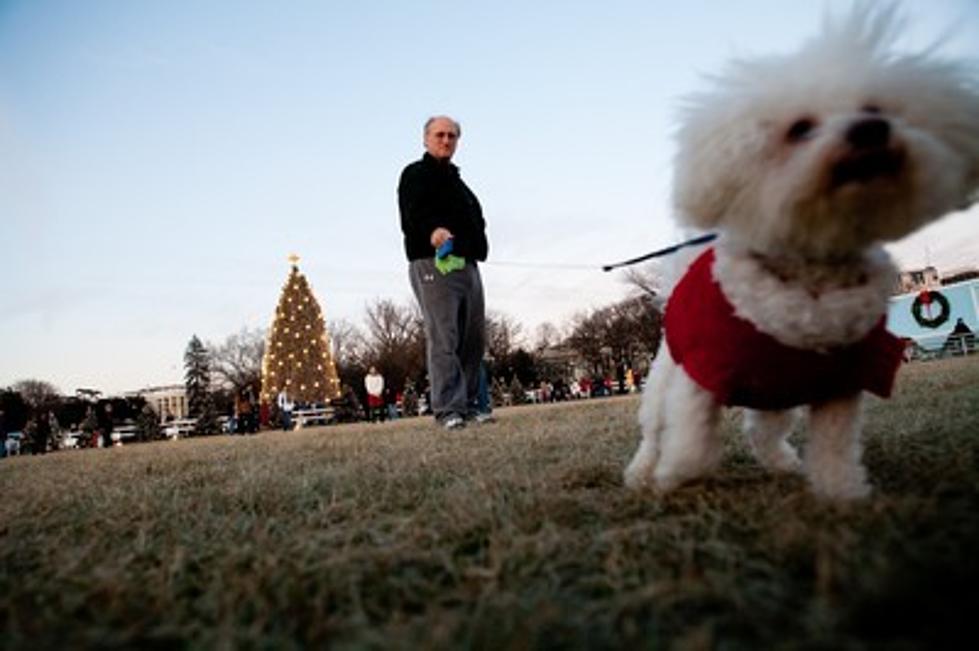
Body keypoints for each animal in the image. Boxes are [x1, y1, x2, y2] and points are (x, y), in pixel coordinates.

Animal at [628, 3, 979, 500]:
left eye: (875, 108)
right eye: (800, 128)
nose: (870, 128)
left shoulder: (842, 380)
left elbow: (834, 449)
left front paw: (844, 496)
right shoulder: (701, 376)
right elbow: (691, 443)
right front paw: (671, 478)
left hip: (777, 392)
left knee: (763, 431)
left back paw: (783, 463)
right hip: (668, 383)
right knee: (656, 432)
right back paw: (642, 472)